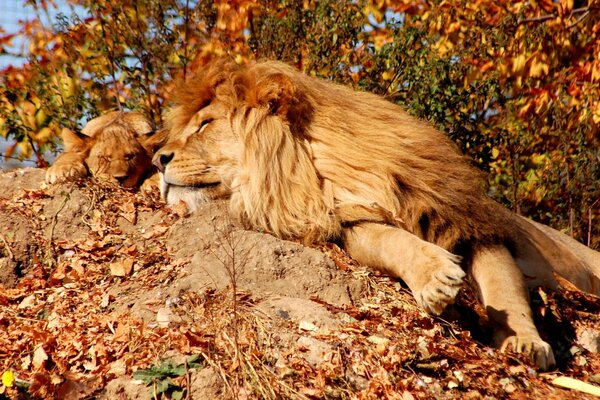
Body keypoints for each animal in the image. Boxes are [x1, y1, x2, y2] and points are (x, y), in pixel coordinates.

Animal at [154, 58, 600, 368]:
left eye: (205, 124)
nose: (158, 160)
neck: (319, 171)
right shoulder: (347, 221)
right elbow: (392, 240)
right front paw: (437, 279)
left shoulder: (469, 222)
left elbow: (504, 286)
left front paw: (524, 341)